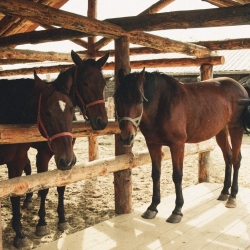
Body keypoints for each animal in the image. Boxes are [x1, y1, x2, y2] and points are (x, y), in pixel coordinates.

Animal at [114, 68, 250, 225]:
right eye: (117, 99)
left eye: (140, 100)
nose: (126, 137)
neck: (162, 105)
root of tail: (240, 87)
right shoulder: (153, 144)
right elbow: (156, 174)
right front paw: (152, 207)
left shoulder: (177, 145)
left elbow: (177, 176)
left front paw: (177, 211)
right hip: (221, 131)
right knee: (228, 157)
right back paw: (224, 192)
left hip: (235, 128)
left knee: (236, 159)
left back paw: (232, 197)